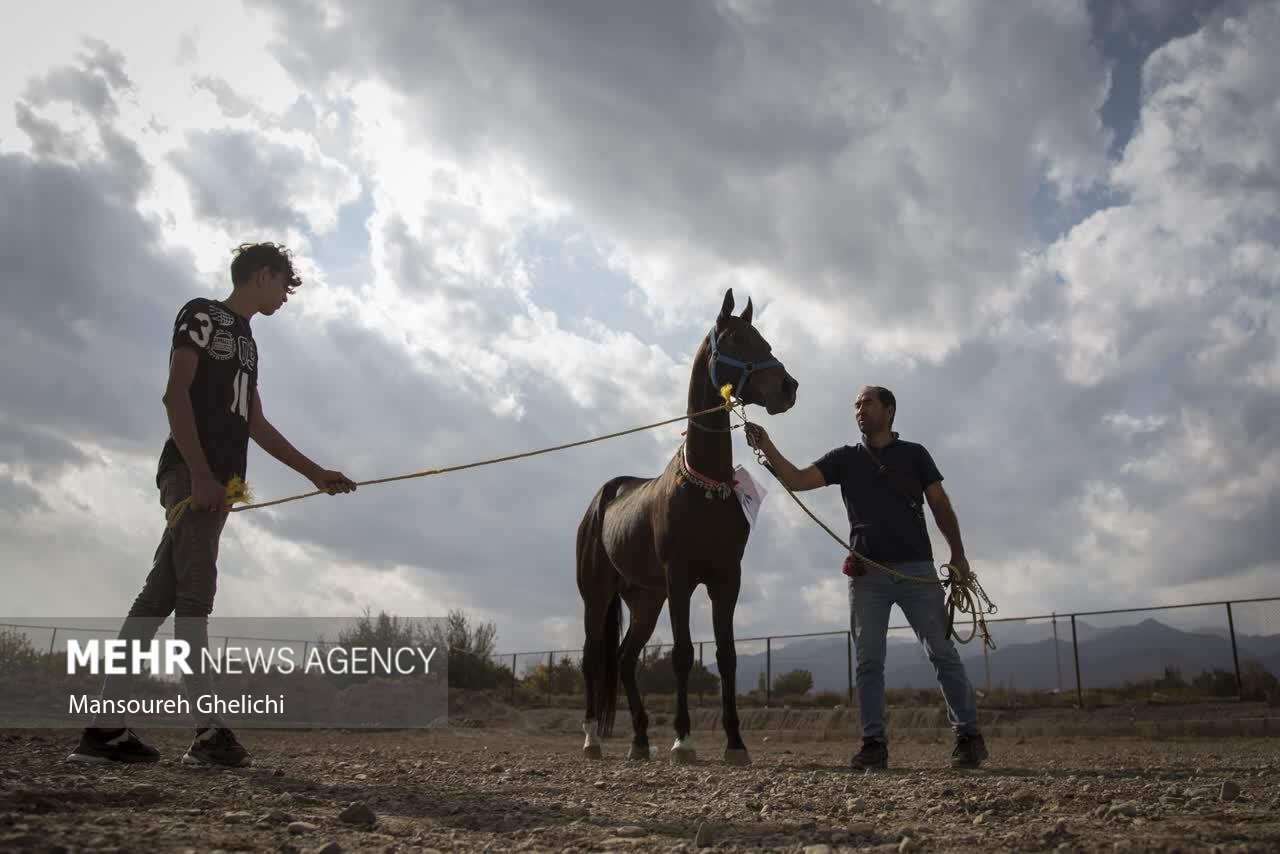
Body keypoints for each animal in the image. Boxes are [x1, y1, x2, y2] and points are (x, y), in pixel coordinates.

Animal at [576, 290, 793, 763]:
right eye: (737, 340)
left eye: (764, 339)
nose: (789, 388)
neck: (704, 483)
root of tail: (603, 499)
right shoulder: (680, 580)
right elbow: (681, 654)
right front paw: (683, 739)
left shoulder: (726, 579)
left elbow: (727, 655)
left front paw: (735, 742)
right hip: (598, 594)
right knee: (593, 658)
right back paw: (592, 739)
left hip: (645, 599)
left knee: (624, 660)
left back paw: (640, 740)